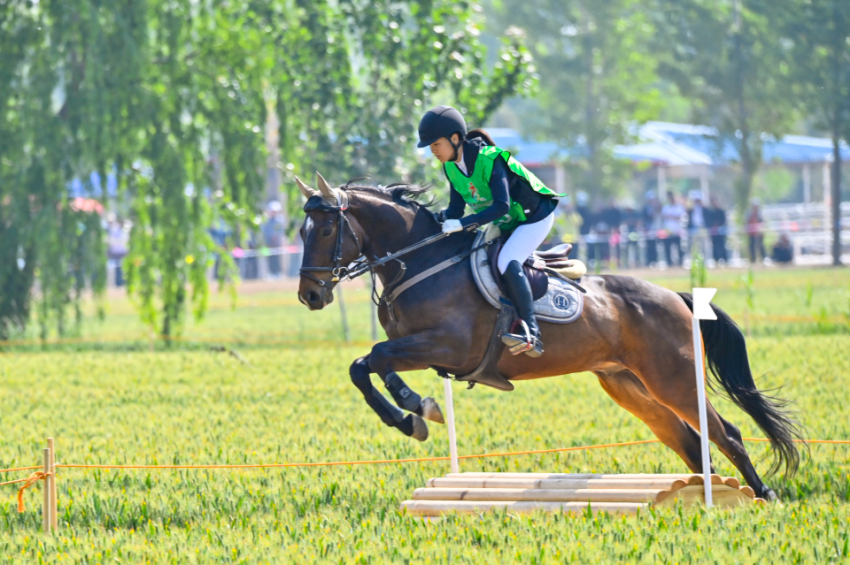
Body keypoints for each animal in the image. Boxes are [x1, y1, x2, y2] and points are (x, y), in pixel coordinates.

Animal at [295, 174, 801, 501]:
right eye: (300, 230)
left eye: (326, 227)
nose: (310, 295)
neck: (420, 262)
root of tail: (677, 298)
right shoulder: (424, 350)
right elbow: (365, 366)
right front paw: (411, 416)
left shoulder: (447, 346)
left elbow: (375, 360)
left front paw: (418, 411)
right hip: (629, 386)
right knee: (691, 442)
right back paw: (703, 499)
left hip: (672, 378)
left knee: (726, 433)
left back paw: (762, 495)